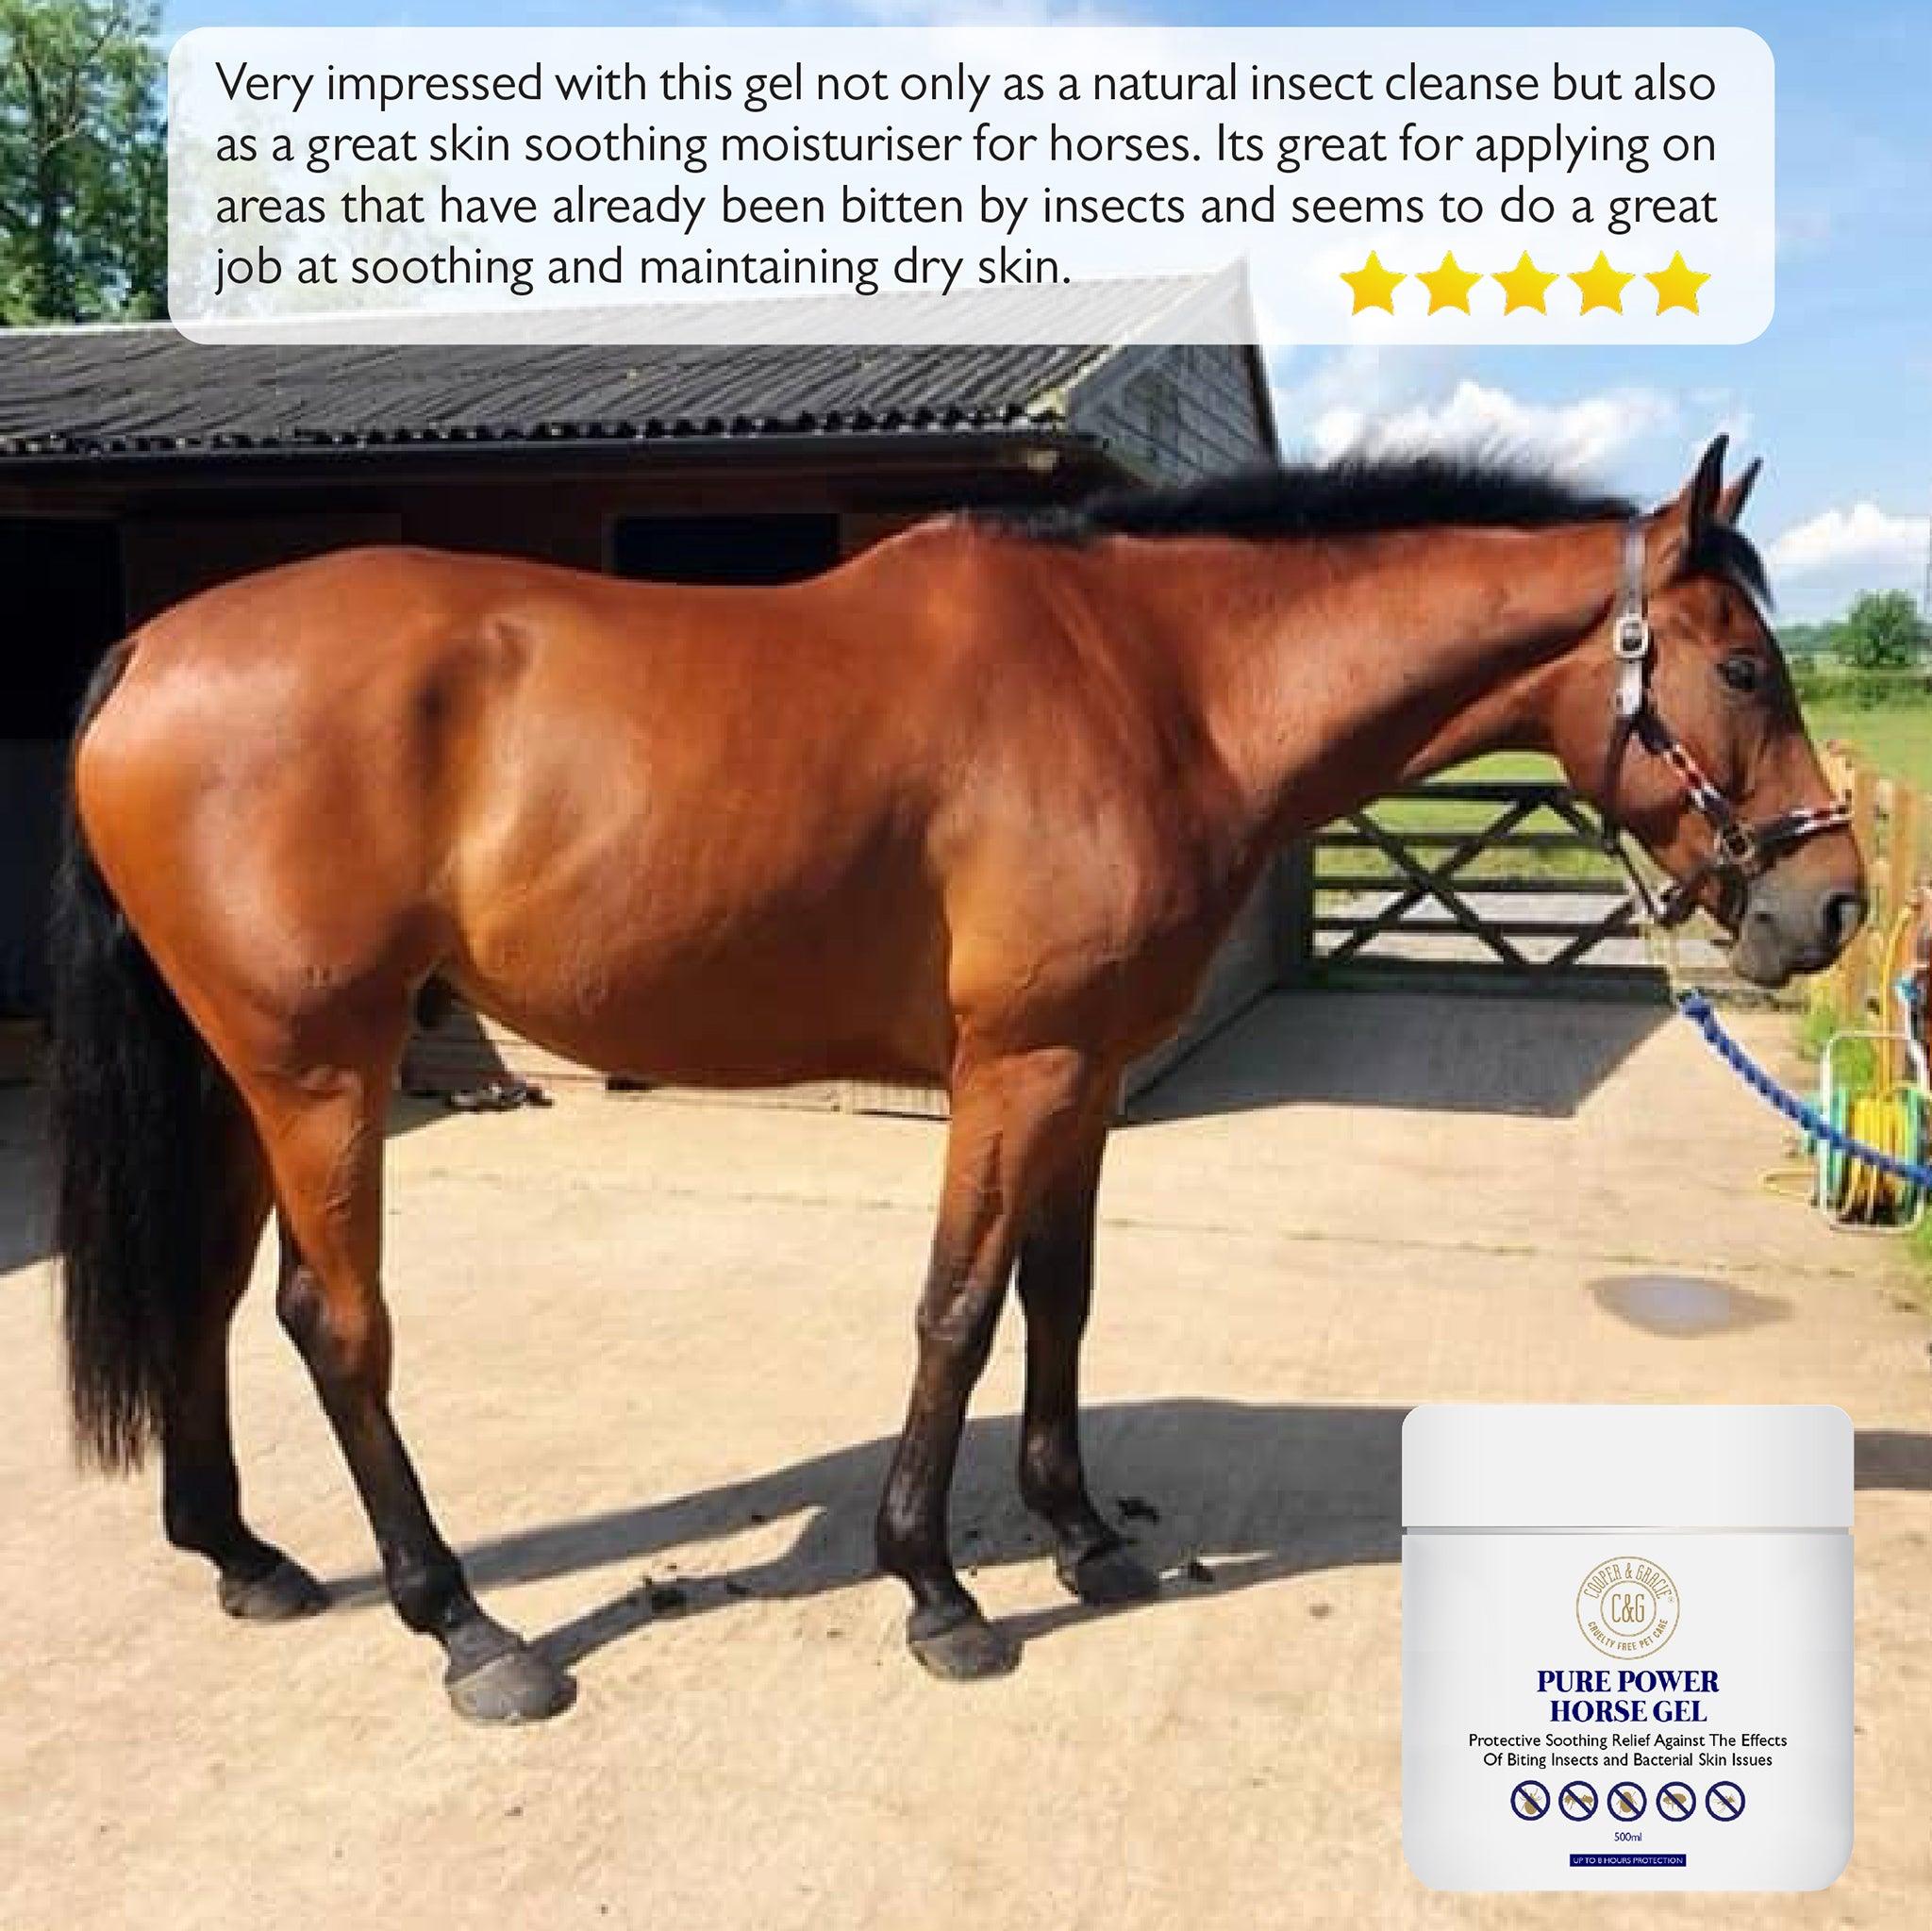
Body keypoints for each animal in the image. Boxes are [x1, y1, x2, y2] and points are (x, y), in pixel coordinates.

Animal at [48, 434, 1863, 1723]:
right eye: (1744, 669)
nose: (1830, 902)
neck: (1156, 678)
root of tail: (147, 648)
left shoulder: (1086, 1073)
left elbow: (1059, 1297)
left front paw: (1083, 1535)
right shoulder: (1017, 1064)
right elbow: (959, 1308)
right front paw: (935, 1588)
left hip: (237, 1071)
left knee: (202, 1292)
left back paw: (248, 1558)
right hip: (319, 1069)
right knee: (332, 1323)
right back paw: (469, 1626)